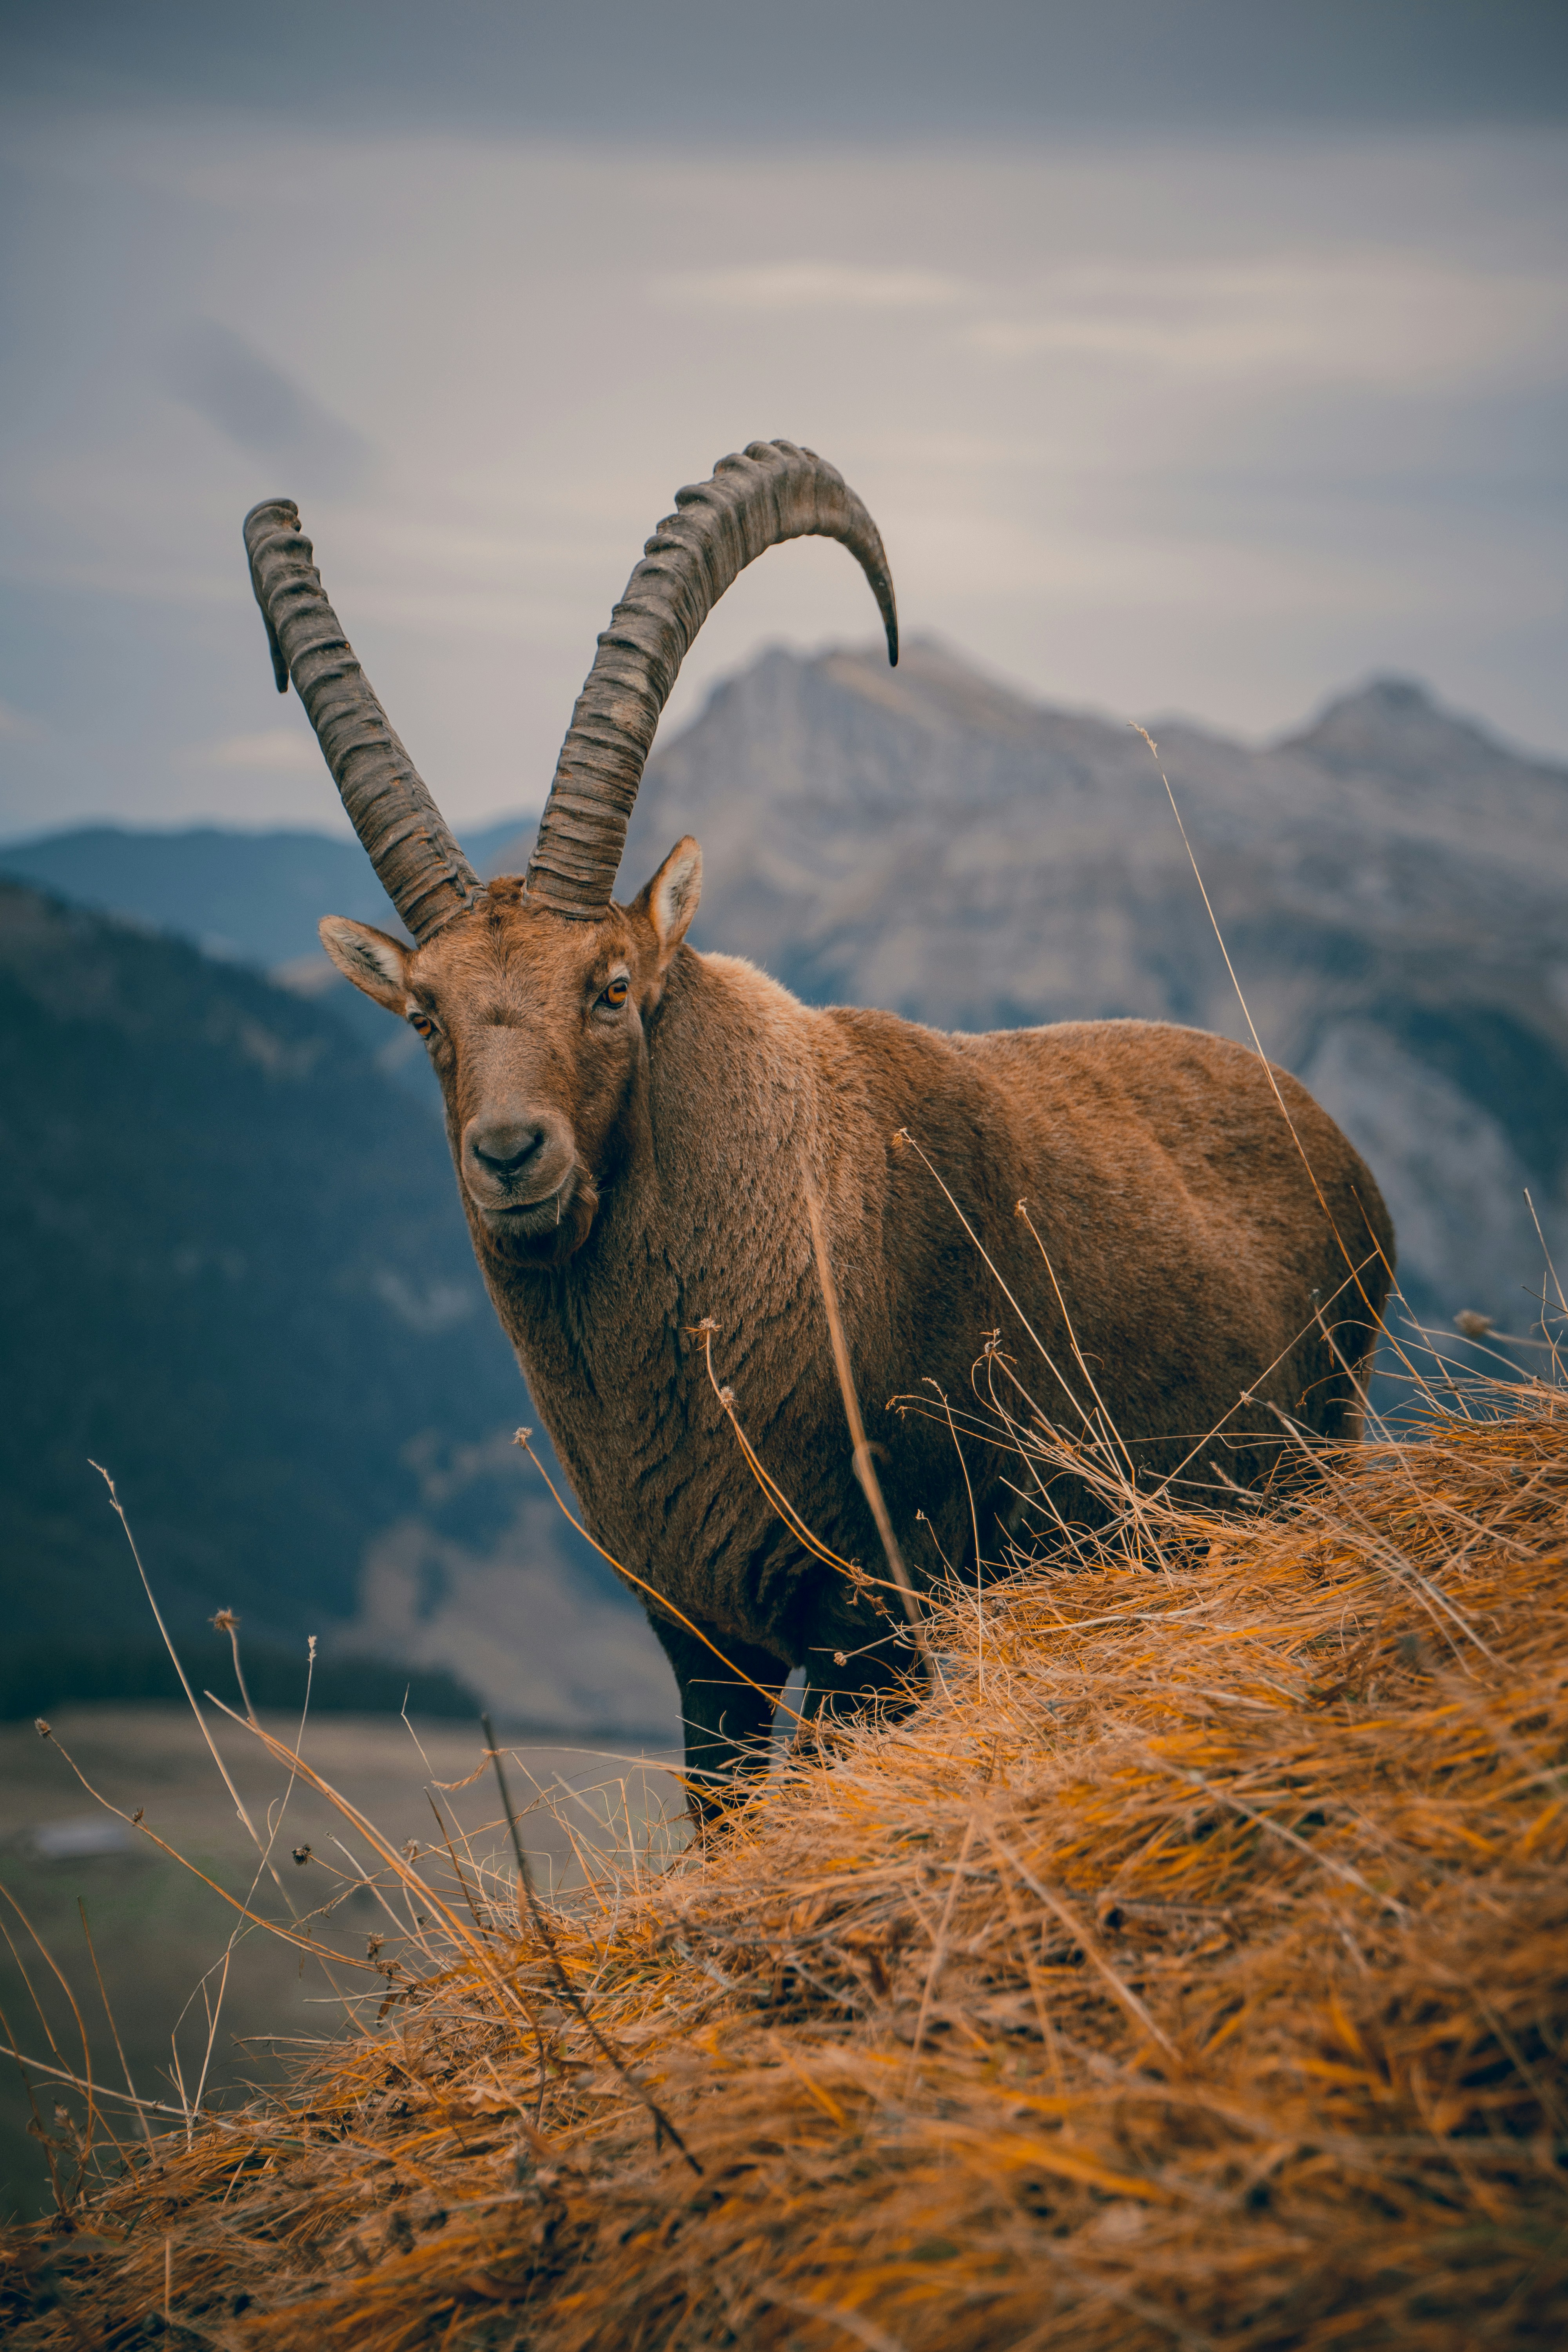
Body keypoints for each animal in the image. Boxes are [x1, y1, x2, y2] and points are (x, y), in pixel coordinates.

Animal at [244, 440, 1393, 1810]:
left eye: (611, 985)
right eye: (425, 1015)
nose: (512, 1155)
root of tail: (1339, 1149)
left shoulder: (871, 1620)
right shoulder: (706, 1647)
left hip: (1308, 1456)